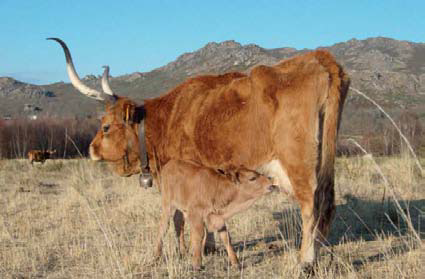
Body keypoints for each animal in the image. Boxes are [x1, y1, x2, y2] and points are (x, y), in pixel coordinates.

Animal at [48, 38, 348, 270]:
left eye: (106, 126)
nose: (91, 149)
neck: (166, 118)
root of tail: (319, 58)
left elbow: (179, 219)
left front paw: (189, 250)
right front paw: (210, 246)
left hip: (298, 164)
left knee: (311, 205)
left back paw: (306, 260)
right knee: (327, 204)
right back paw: (322, 252)